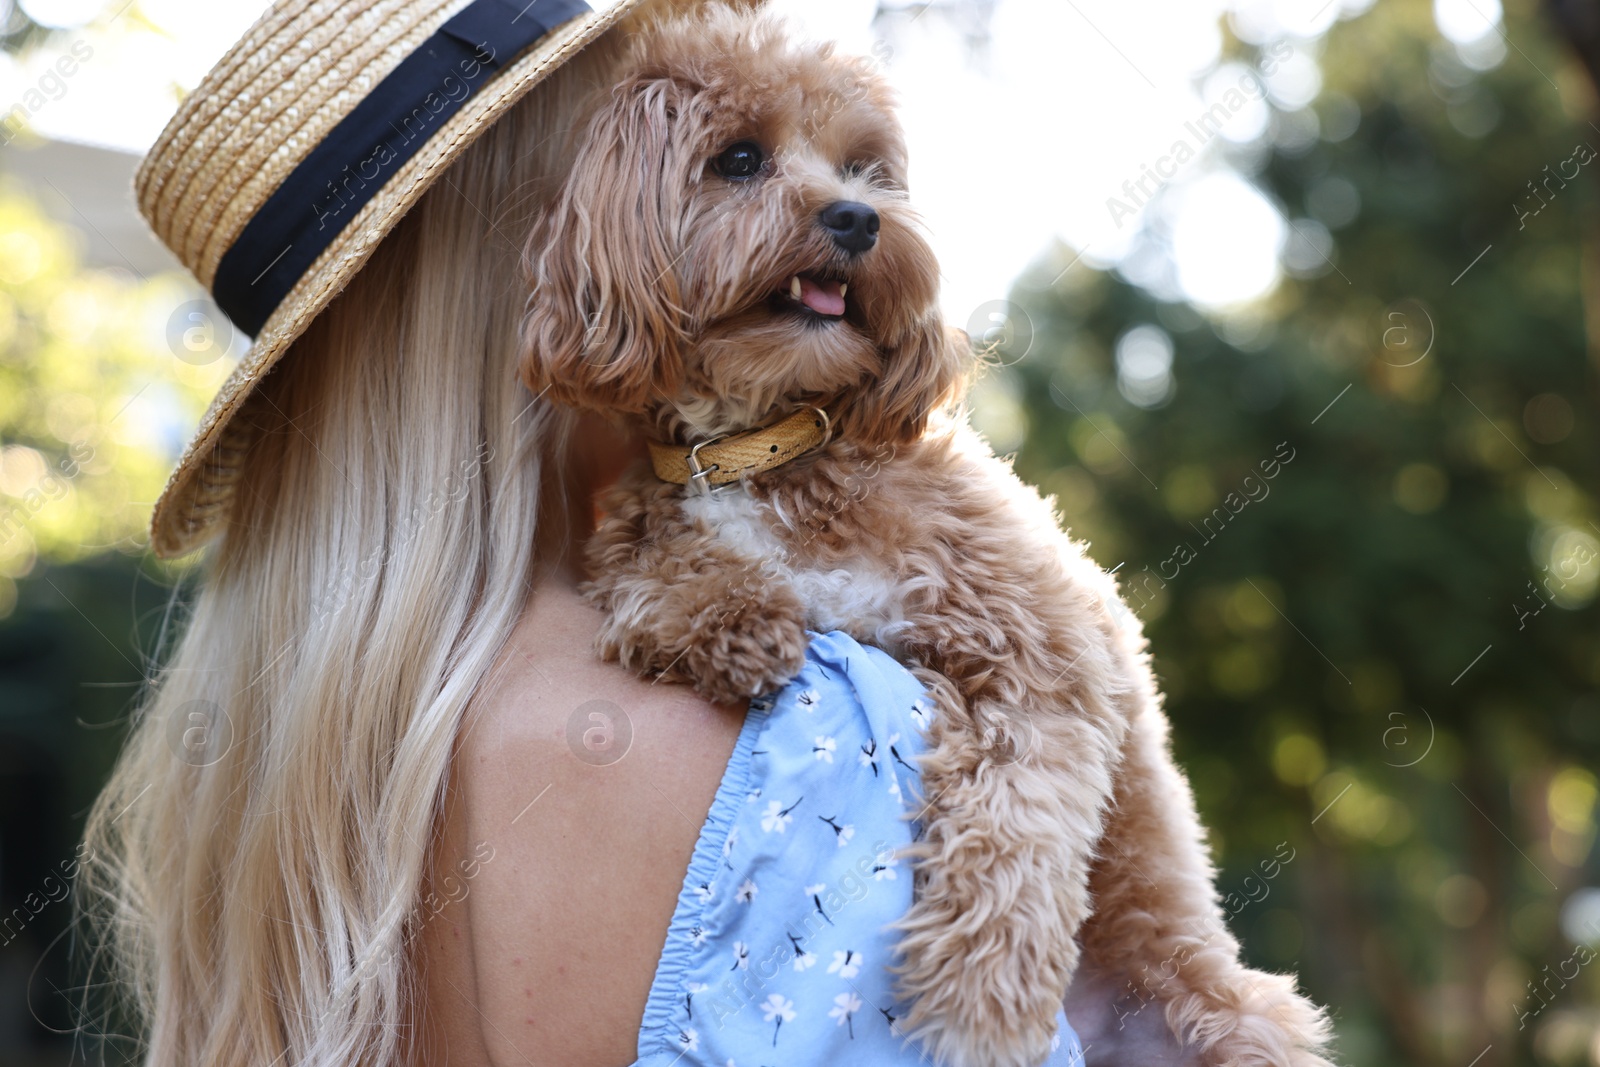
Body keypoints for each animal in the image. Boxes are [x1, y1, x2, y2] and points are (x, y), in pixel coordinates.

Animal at [515, 4, 1337, 1062]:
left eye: (866, 170)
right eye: (739, 159)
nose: (858, 220)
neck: (768, 442)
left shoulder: (1043, 651)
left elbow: (1015, 821)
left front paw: (981, 1000)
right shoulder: (655, 513)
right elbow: (657, 567)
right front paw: (730, 618)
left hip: (1235, 1014)